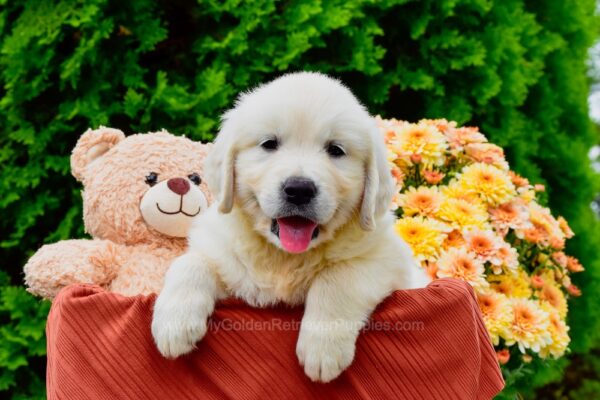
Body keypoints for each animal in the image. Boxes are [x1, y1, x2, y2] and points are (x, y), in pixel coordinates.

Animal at [152, 71, 428, 382]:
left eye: (336, 150)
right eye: (269, 144)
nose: (299, 190)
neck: (284, 257)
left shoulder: (388, 261)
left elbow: (338, 276)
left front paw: (323, 349)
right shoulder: (227, 260)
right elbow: (190, 263)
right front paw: (173, 325)